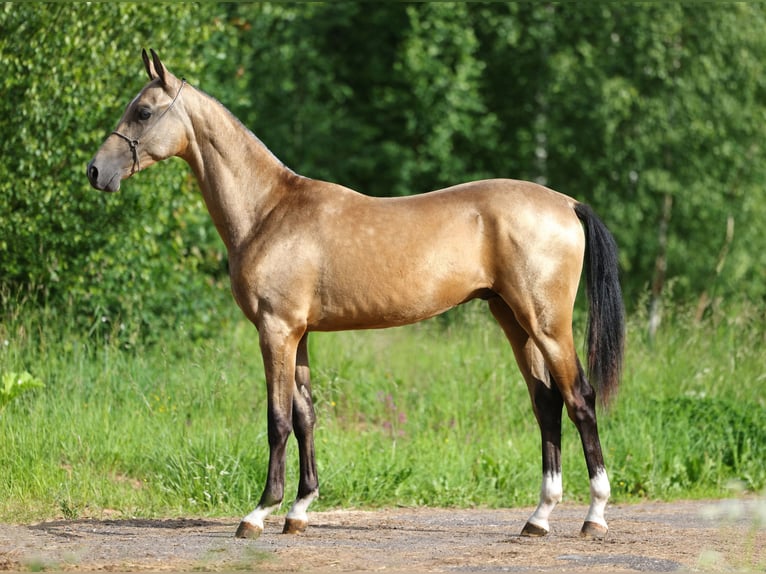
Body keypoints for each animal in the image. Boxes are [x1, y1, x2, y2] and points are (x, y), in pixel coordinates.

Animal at [87, 51, 628, 544]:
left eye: (143, 111)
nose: (95, 171)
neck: (269, 210)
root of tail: (568, 203)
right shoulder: (299, 335)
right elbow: (306, 416)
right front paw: (299, 510)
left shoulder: (276, 331)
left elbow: (278, 420)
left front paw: (259, 513)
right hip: (513, 320)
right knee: (545, 403)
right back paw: (538, 518)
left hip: (547, 325)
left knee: (579, 399)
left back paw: (594, 515)